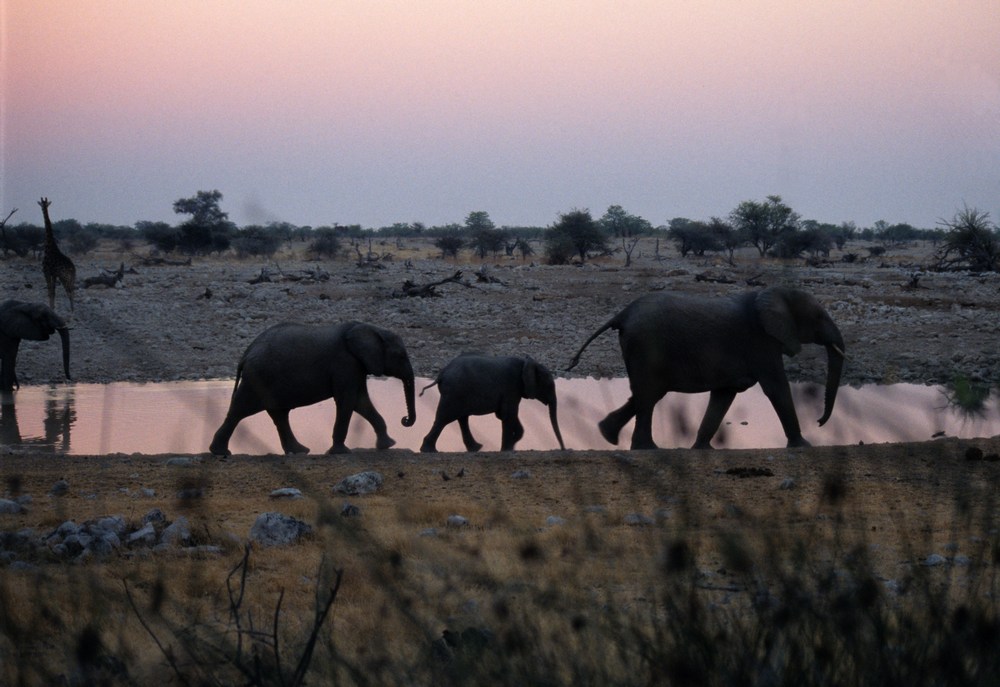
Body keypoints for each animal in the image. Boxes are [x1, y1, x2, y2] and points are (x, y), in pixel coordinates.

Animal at [209, 322, 416, 456]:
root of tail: (246, 354)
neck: (372, 329)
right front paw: (340, 453)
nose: (404, 420)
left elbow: (360, 402)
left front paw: (388, 445)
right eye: (401, 356)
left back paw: (300, 451)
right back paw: (219, 452)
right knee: (239, 411)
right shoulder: (345, 364)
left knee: (279, 416)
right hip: (257, 379)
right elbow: (347, 401)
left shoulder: (357, 366)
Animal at [418, 354, 568, 452]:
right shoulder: (511, 386)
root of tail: (441, 374)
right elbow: (509, 414)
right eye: (549, 385)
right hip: (454, 392)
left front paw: (511, 446)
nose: (563, 449)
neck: (526, 362)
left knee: (461, 418)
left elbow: (507, 415)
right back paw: (429, 450)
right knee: (445, 418)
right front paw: (507, 449)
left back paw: (476, 448)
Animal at [564, 286, 844, 452]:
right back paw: (647, 448)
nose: (819, 422)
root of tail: (622, 313)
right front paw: (804, 446)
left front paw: (702, 449)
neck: (772, 293)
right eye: (819, 317)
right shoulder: (761, 342)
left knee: (647, 393)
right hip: (645, 344)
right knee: (649, 393)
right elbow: (776, 388)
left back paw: (608, 434)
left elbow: (724, 395)